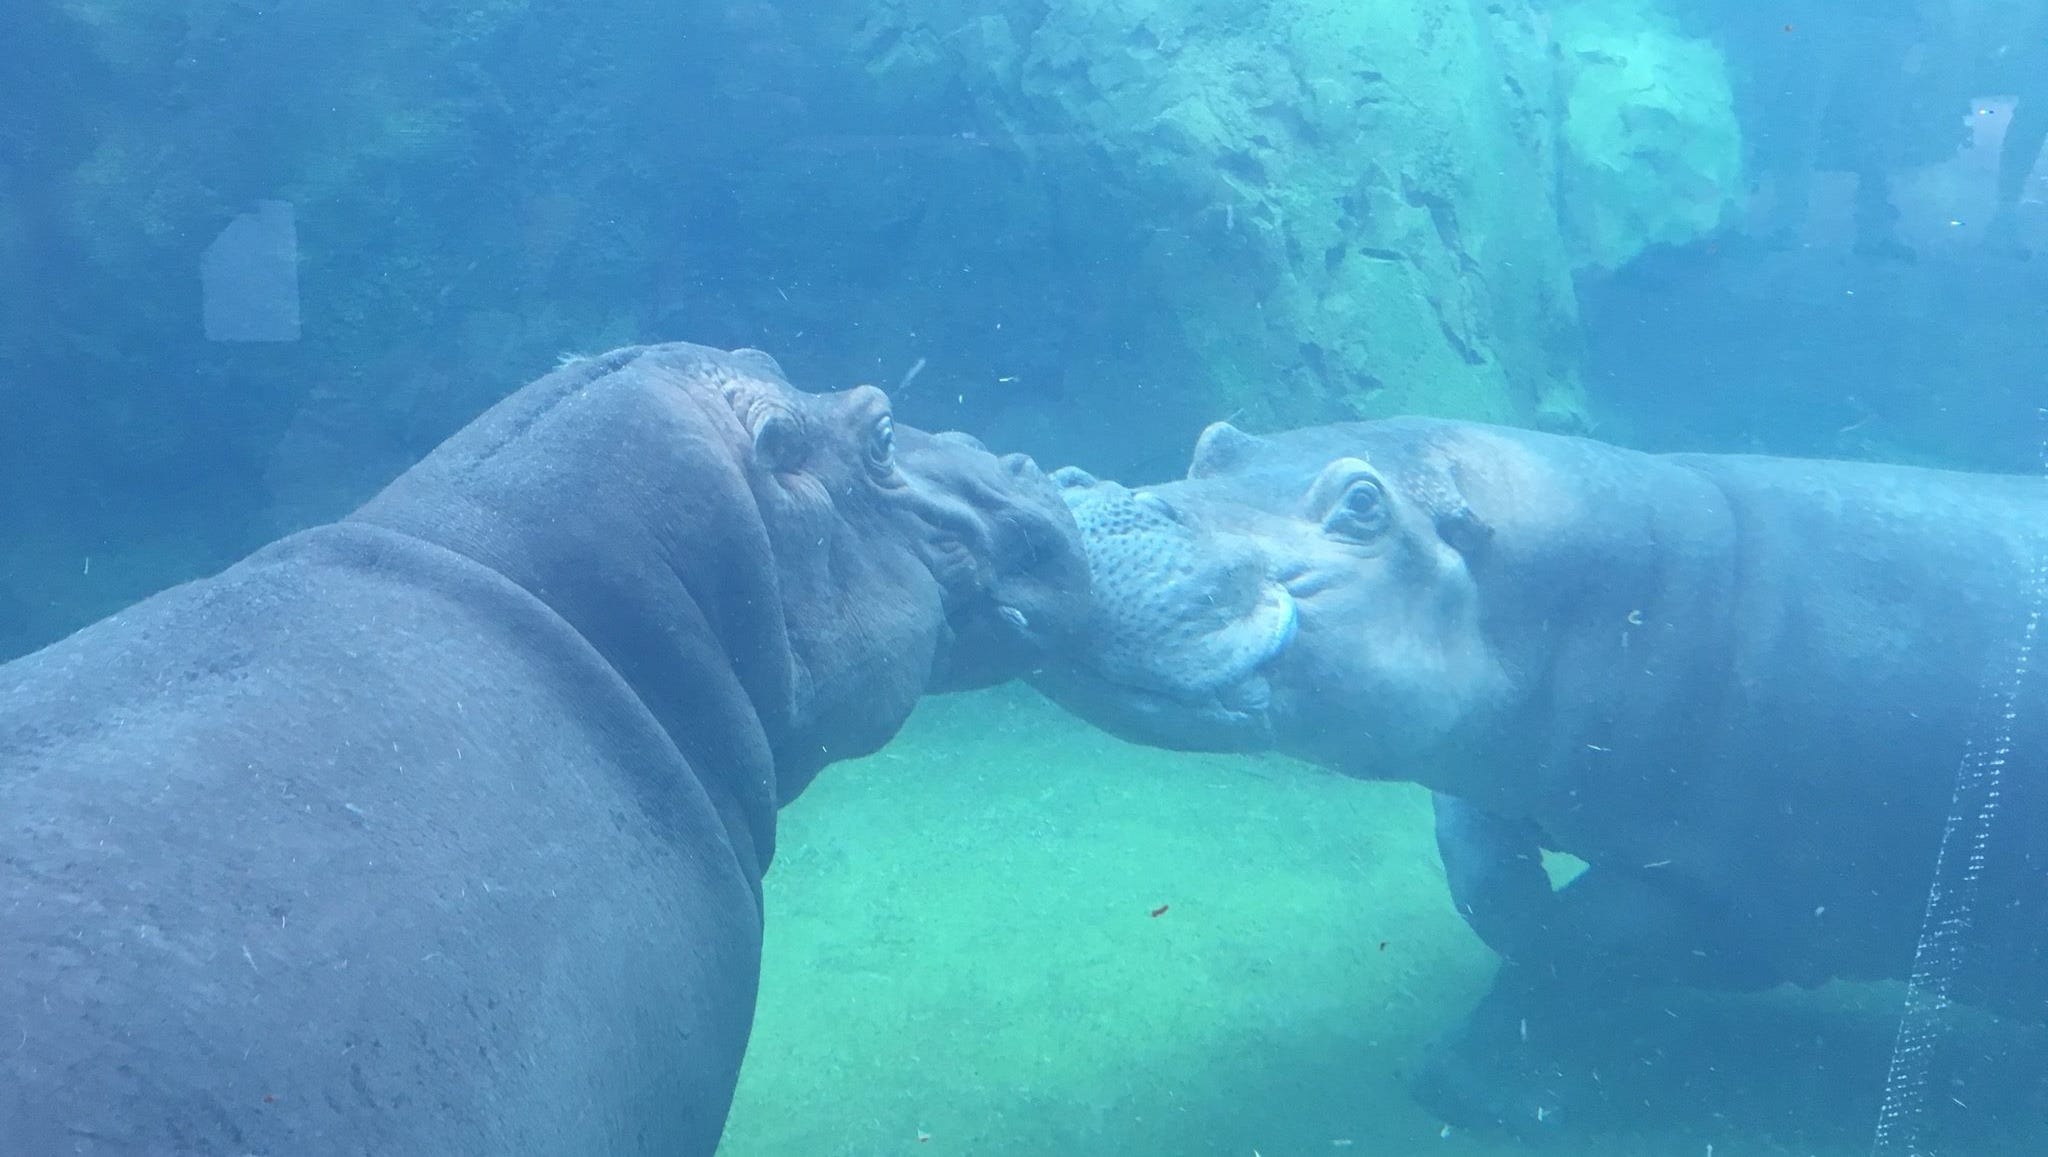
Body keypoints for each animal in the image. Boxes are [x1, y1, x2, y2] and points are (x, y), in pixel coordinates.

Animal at [1034, 415, 2048, 1131]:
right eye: (1215, 444)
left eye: (1362, 502)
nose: (1080, 497)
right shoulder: (1488, 758)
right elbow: (1487, 880)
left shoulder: (1763, 896)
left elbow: (1584, 938)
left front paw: (1474, 1087)